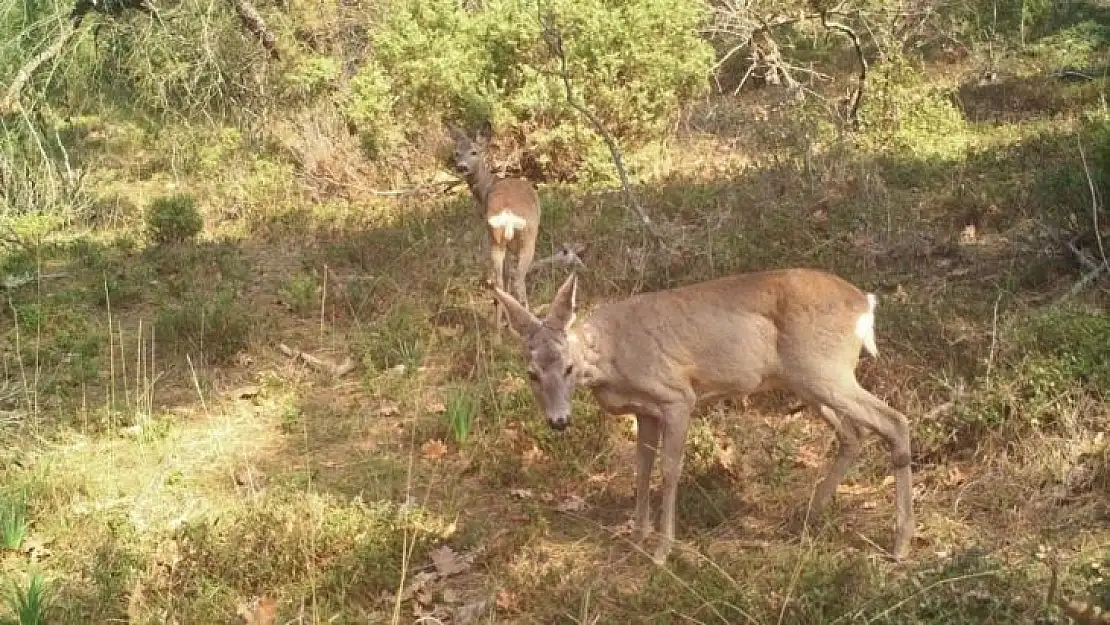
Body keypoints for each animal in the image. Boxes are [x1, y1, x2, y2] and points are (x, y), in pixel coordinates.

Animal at [446, 123, 541, 337]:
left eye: (473, 151)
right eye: (456, 153)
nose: (461, 166)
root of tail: (507, 213)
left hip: (496, 238)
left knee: (499, 282)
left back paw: (499, 332)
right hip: (527, 238)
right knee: (517, 279)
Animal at [490, 268, 914, 568]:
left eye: (568, 368)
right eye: (531, 374)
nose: (558, 421)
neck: (611, 357)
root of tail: (865, 304)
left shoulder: (677, 396)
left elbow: (669, 470)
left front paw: (663, 551)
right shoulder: (645, 411)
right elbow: (641, 469)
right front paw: (636, 538)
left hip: (825, 370)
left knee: (894, 421)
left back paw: (900, 543)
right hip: (806, 380)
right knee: (853, 434)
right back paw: (808, 516)